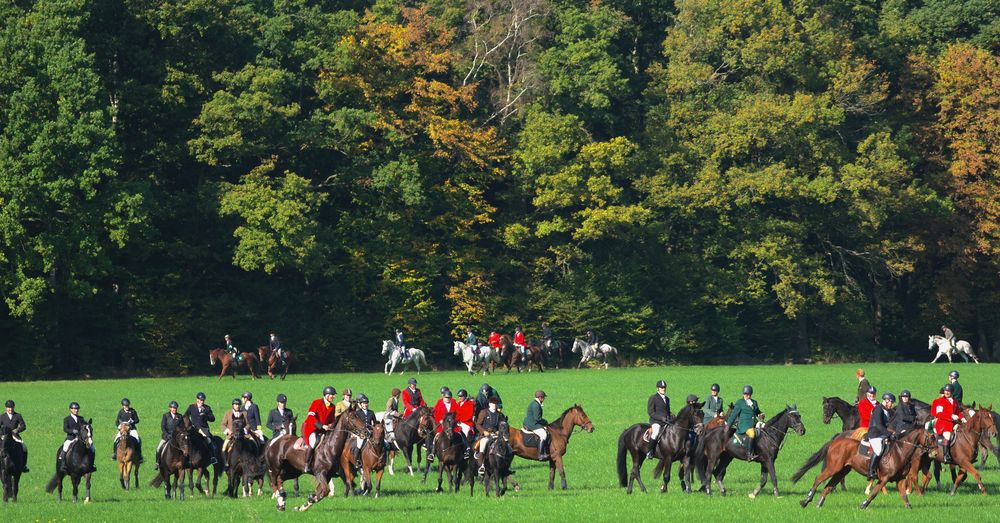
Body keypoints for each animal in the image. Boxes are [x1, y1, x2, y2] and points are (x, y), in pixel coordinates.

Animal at [796, 426, 936, 508]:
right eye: (931, 437)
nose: (934, 453)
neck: (900, 451)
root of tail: (835, 442)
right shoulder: (884, 478)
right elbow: (874, 493)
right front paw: (863, 505)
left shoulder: (900, 480)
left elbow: (904, 496)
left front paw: (909, 508)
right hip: (833, 468)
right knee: (818, 479)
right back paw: (806, 500)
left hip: (842, 471)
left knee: (828, 486)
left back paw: (818, 503)